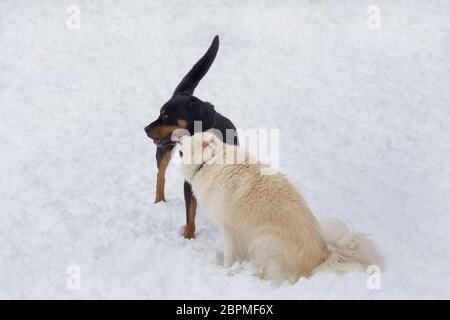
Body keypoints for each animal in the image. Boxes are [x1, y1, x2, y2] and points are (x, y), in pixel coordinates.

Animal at [145, 36, 239, 239]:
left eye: (165, 116)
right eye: (160, 113)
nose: (145, 129)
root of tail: (186, 93)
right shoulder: (189, 181)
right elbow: (190, 215)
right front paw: (188, 238)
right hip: (164, 150)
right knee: (160, 176)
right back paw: (159, 202)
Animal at [178, 131, 384, 284]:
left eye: (191, 138)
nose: (178, 136)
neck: (208, 162)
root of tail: (321, 258)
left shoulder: (228, 228)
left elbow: (230, 255)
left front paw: (226, 270)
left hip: (263, 240)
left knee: (276, 275)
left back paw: (256, 277)